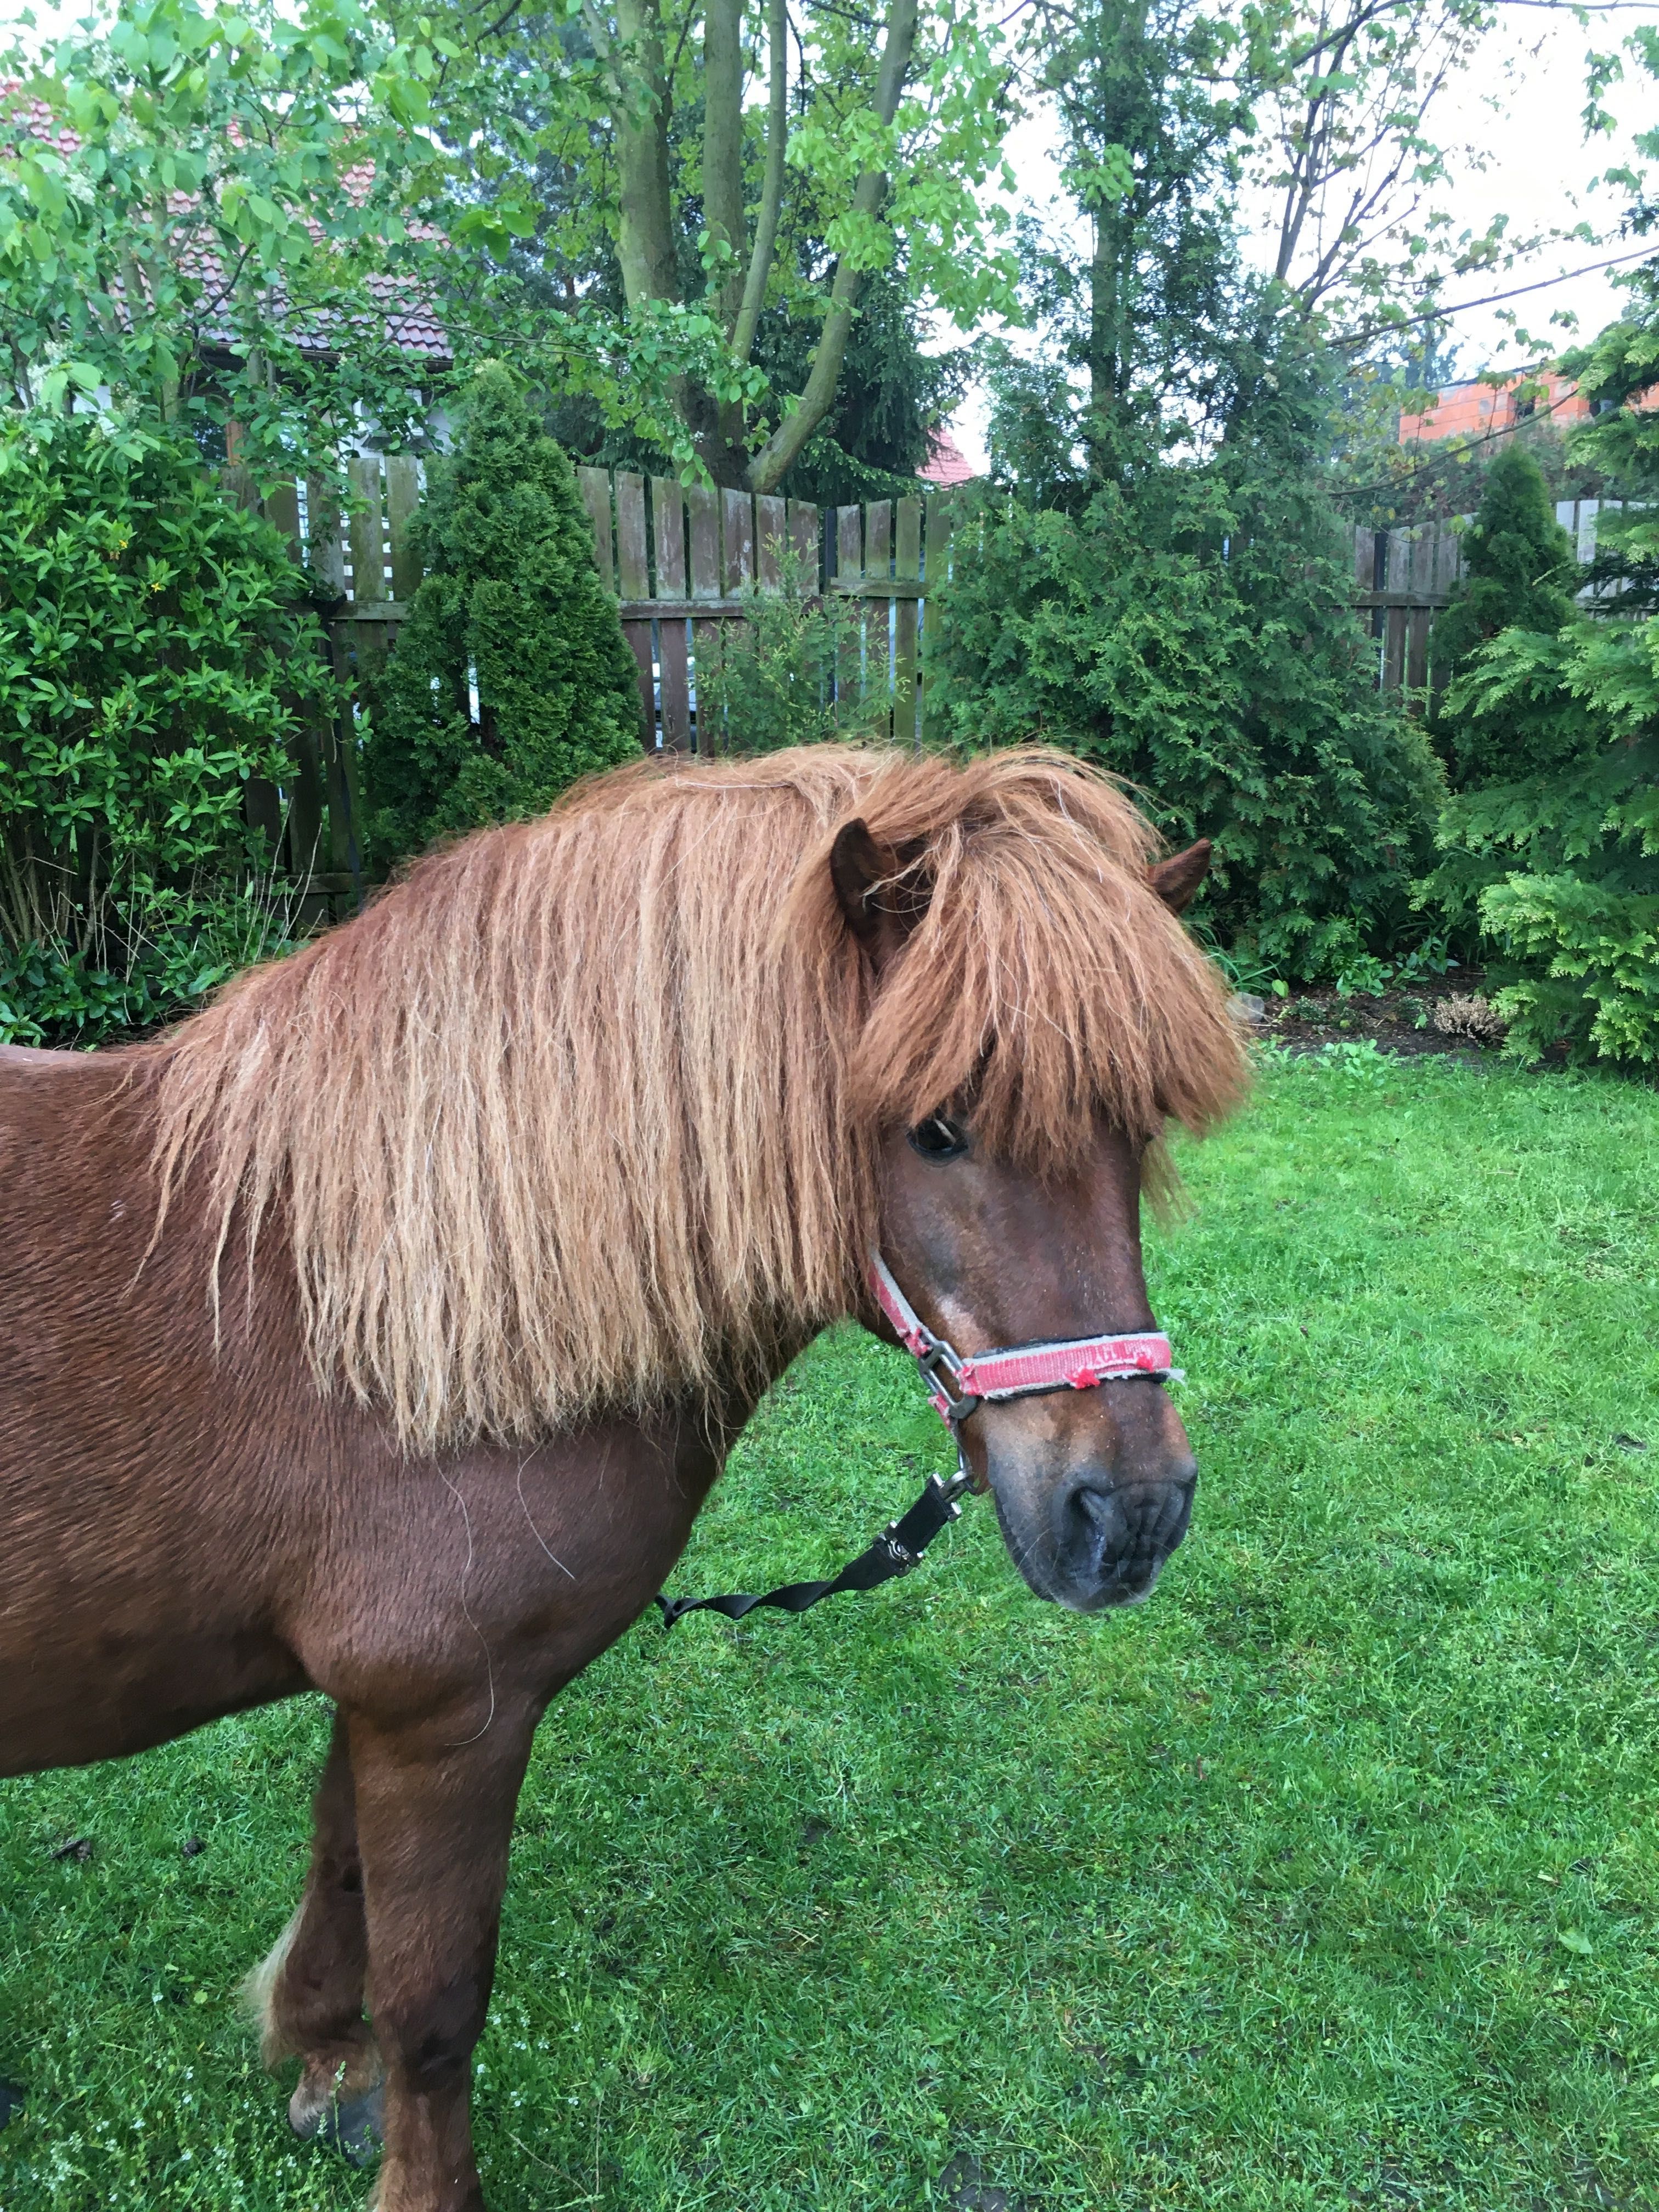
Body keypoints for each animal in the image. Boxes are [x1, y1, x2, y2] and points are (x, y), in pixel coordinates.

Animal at [0, 747, 1248, 2212]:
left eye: (1140, 1127)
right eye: (937, 1130)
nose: (1132, 1516)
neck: (379, 1311)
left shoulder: (378, 1703)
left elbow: (343, 1876)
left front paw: (322, 2062)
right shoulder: (449, 1716)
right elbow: (436, 2006)